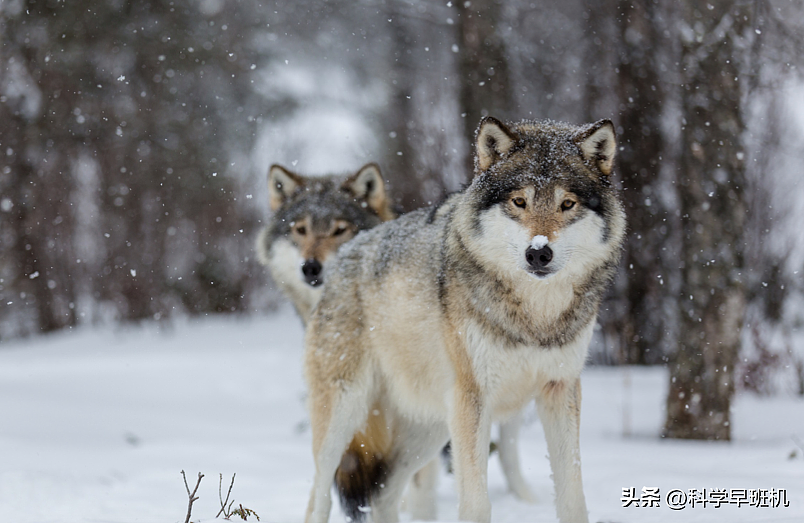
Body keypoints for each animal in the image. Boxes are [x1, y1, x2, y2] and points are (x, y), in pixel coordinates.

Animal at [304, 117, 624, 523]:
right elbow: (476, 503)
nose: (538, 253)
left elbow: (572, 496)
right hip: (346, 415)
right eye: (519, 202)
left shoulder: (560, 389)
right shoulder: (474, 400)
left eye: (567, 204)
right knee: (319, 496)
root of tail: (345, 251)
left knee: (383, 495)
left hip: (429, 429)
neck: (535, 318)